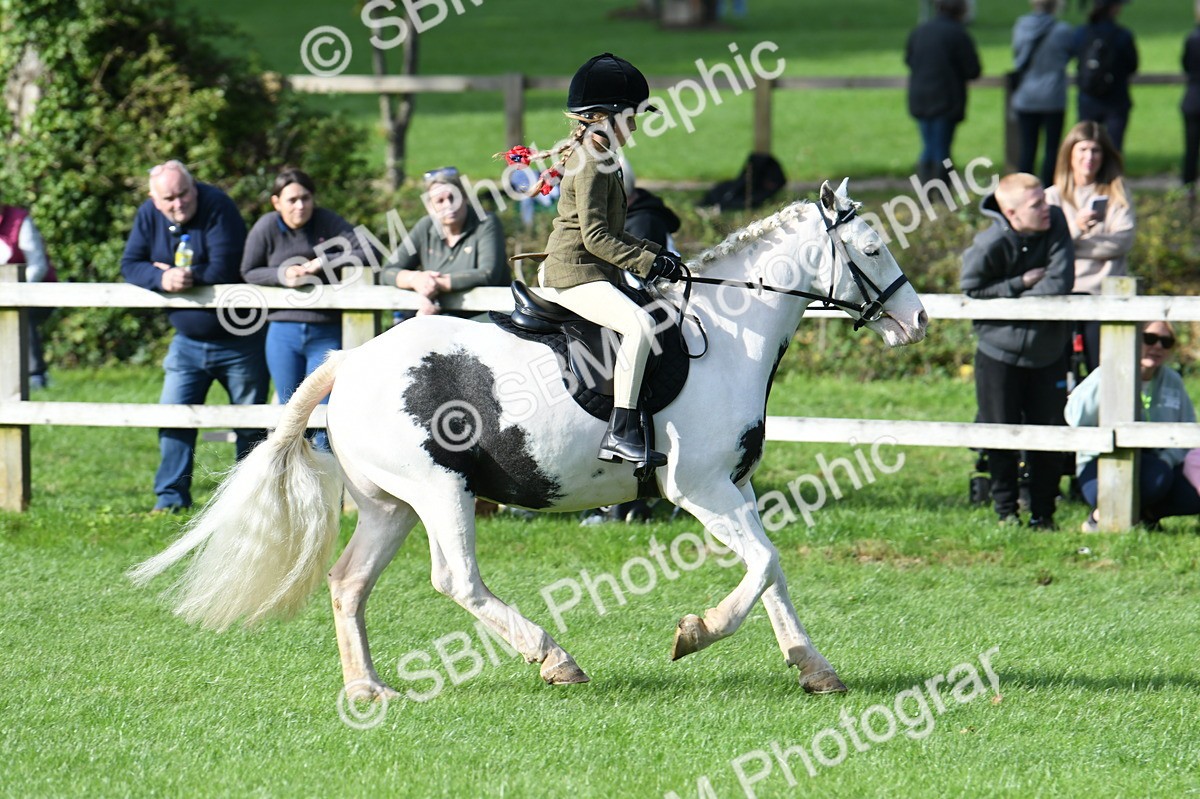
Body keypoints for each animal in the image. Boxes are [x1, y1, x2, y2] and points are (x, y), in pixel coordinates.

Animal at [130, 179, 928, 699]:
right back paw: (554, 659)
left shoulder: (734, 485)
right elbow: (763, 564)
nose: (917, 320)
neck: (730, 336)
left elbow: (773, 571)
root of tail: (349, 363)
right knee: (456, 580)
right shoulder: (698, 486)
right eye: (873, 249)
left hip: (390, 505)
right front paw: (695, 631)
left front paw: (814, 668)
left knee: (347, 582)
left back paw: (369, 689)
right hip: (438, 492)